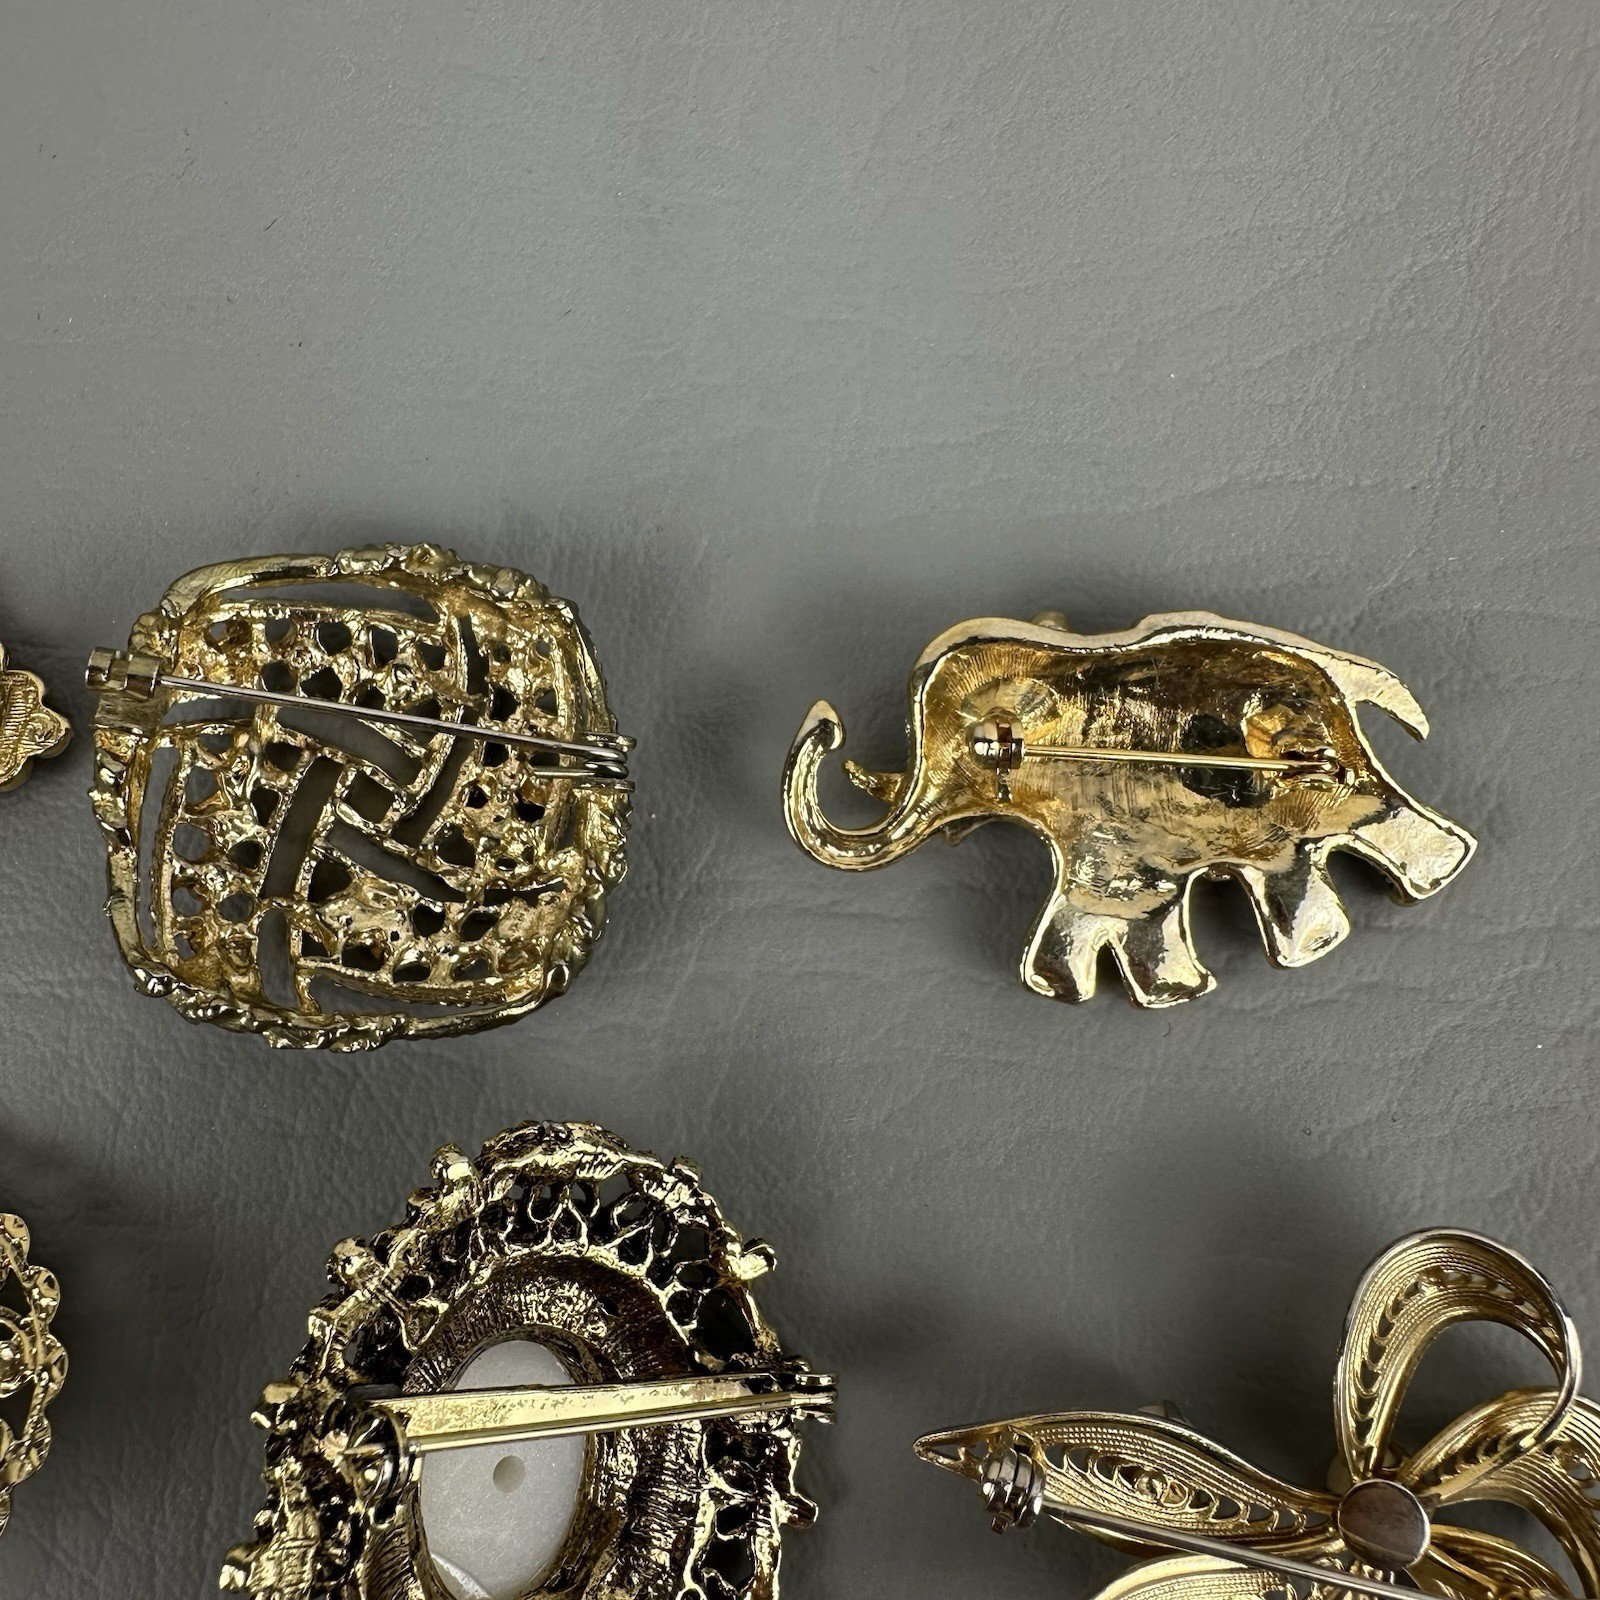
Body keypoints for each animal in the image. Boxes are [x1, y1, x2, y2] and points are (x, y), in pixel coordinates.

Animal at [783, 610, 1475, 1008]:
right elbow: (1111, 909)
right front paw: (1124, 990)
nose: (828, 723)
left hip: (1325, 799)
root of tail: (1341, 680)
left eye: (985, 742)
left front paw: (1127, 991)